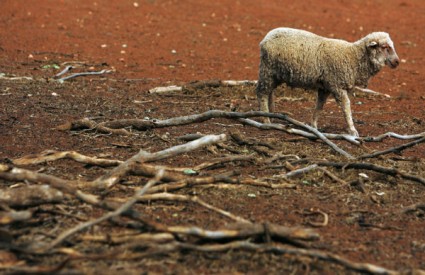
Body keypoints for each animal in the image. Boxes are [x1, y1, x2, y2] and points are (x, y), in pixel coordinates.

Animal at [253, 27, 400, 137]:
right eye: (385, 47)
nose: (397, 62)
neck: (353, 56)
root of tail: (266, 37)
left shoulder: (325, 87)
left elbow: (319, 106)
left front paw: (314, 126)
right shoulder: (337, 86)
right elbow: (346, 107)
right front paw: (352, 130)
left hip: (275, 74)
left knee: (269, 92)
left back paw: (271, 114)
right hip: (267, 70)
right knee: (262, 93)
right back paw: (266, 120)